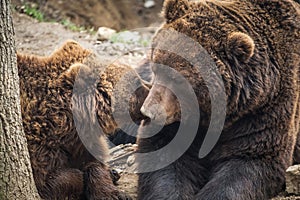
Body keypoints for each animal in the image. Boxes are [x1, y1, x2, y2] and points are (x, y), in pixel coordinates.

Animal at [17, 41, 148, 200]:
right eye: (136, 81)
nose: (152, 89)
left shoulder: (82, 140)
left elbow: (94, 163)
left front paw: (113, 191)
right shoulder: (38, 147)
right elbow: (49, 182)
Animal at [137, 0, 298, 199]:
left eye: (179, 80)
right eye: (157, 66)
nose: (148, 113)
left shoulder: (264, 109)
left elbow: (250, 161)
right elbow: (164, 153)